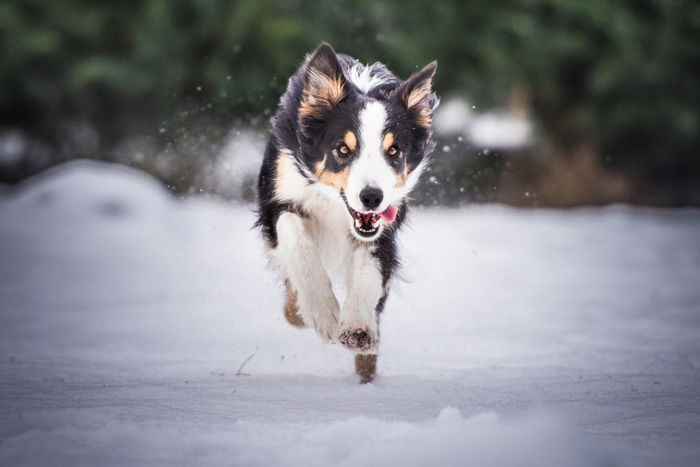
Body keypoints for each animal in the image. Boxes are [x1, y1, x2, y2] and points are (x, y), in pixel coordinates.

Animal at [254, 42, 434, 382]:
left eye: (394, 151)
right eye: (342, 149)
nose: (372, 197)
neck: (334, 204)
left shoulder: (383, 228)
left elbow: (370, 271)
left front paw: (358, 329)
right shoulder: (277, 201)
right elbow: (297, 241)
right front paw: (322, 312)